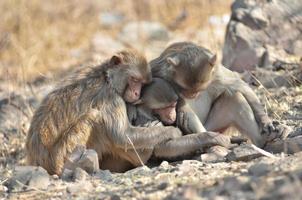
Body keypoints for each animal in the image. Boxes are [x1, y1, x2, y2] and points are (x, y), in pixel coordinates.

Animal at [26, 49, 182, 175]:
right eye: (134, 79)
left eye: (142, 83)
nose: (137, 93)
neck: (106, 77)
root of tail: (38, 163)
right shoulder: (110, 98)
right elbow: (122, 136)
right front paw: (172, 131)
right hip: (63, 155)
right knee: (94, 117)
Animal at [150, 41, 292, 148]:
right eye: (184, 88)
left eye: (199, 89)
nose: (192, 95)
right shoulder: (159, 70)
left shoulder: (217, 75)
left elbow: (242, 88)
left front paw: (265, 120)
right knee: (186, 110)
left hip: (217, 127)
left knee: (234, 97)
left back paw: (263, 140)